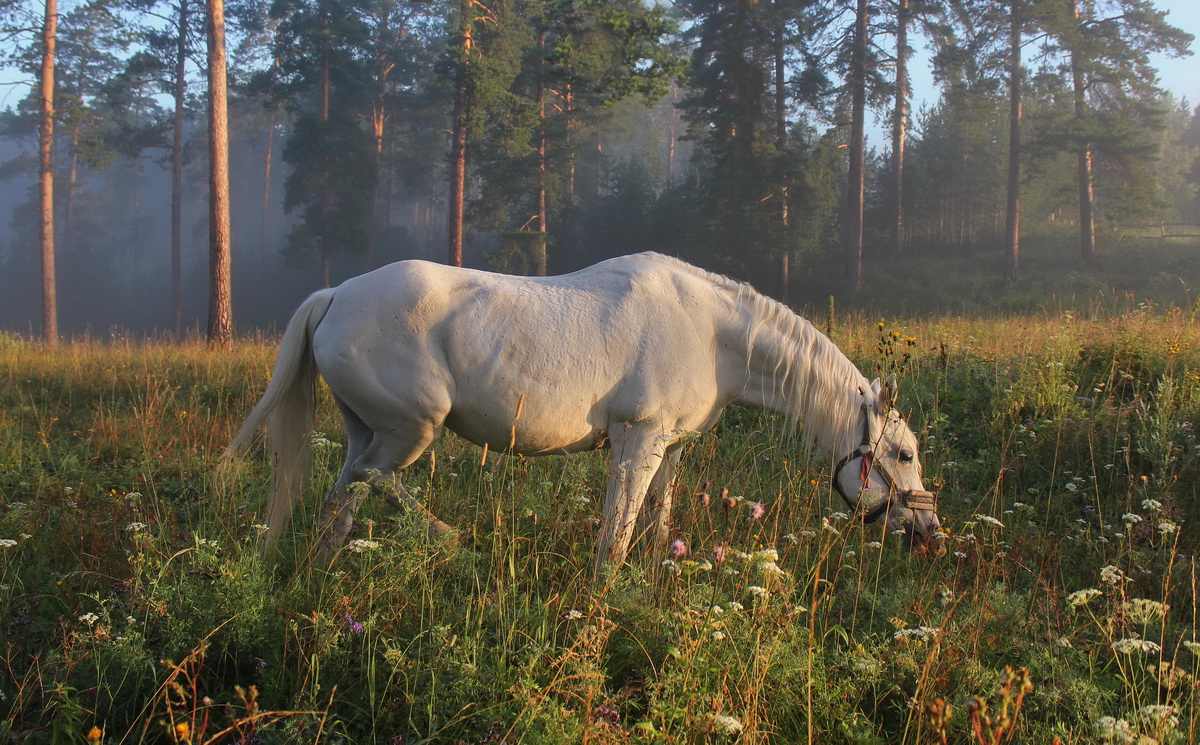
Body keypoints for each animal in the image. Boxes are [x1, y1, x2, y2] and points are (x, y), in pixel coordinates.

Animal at [223, 253, 936, 566]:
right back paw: (445, 536)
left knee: (339, 503)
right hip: (410, 431)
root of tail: (335, 295)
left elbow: (654, 526)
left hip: (365, 432)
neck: (712, 332)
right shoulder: (636, 441)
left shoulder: (668, 449)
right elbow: (614, 537)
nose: (929, 532)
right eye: (903, 454)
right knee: (371, 484)